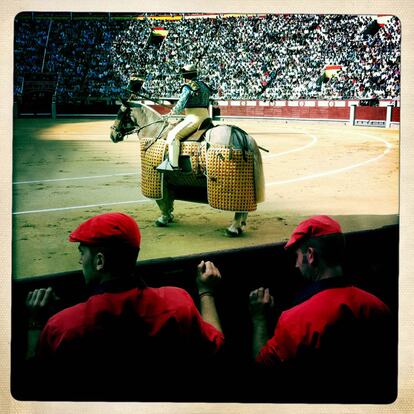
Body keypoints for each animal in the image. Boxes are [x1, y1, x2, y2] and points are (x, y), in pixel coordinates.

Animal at [110, 98, 266, 236]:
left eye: (120, 113)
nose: (113, 135)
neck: (154, 132)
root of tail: (242, 135)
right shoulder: (170, 180)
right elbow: (168, 200)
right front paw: (169, 216)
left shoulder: (158, 178)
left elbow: (161, 201)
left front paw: (162, 219)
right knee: (245, 205)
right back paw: (240, 227)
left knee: (239, 209)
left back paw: (232, 229)